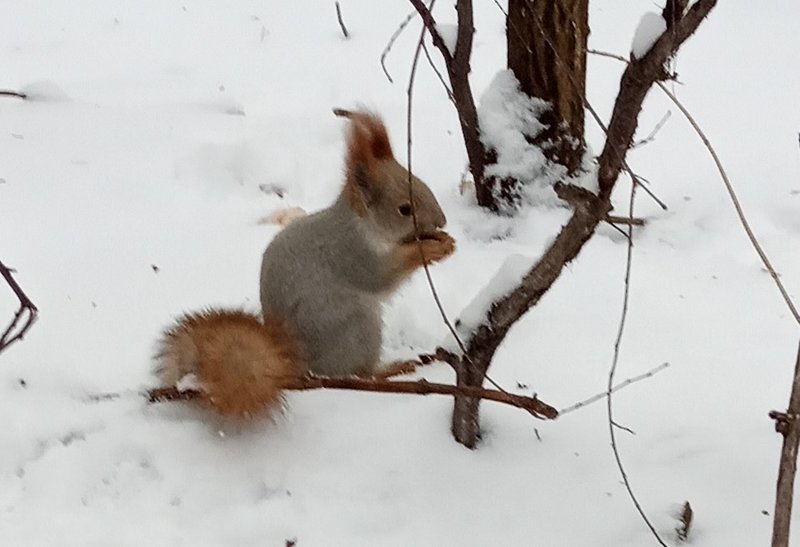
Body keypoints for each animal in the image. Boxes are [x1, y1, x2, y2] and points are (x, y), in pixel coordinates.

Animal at [155, 110, 456, 420]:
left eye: (422, 183)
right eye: (404, 209)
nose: (442, 220)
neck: (362, 226)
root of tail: (293, 366)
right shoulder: (349, 253)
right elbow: (381, 276)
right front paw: (432, 248)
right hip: (356, 326)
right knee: (357, 374)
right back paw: (394, 368)